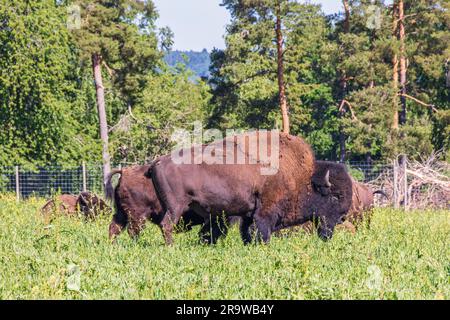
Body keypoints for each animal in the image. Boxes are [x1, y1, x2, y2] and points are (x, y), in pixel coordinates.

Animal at [148, 131, 352, 244]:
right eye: (335, 196)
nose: (342, 218)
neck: (303, 177)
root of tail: (157, 162)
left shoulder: (247, 215)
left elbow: (246, 233)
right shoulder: (264, 213)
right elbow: (261, 232)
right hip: (176, 207)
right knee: (166, 225)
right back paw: (171, 246)